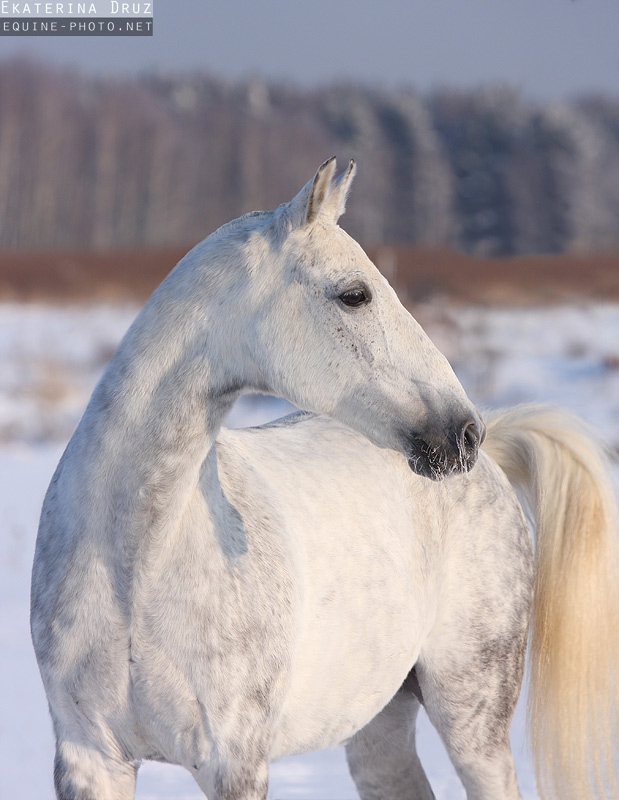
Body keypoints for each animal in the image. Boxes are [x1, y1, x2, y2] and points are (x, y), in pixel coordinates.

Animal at [32, 158, 619, 800]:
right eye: (354, 295)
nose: (463, 431)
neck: (136, 564)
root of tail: (493, 459)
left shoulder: (233, 762)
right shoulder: (91, 758)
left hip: (473, 717)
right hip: (379, 725)